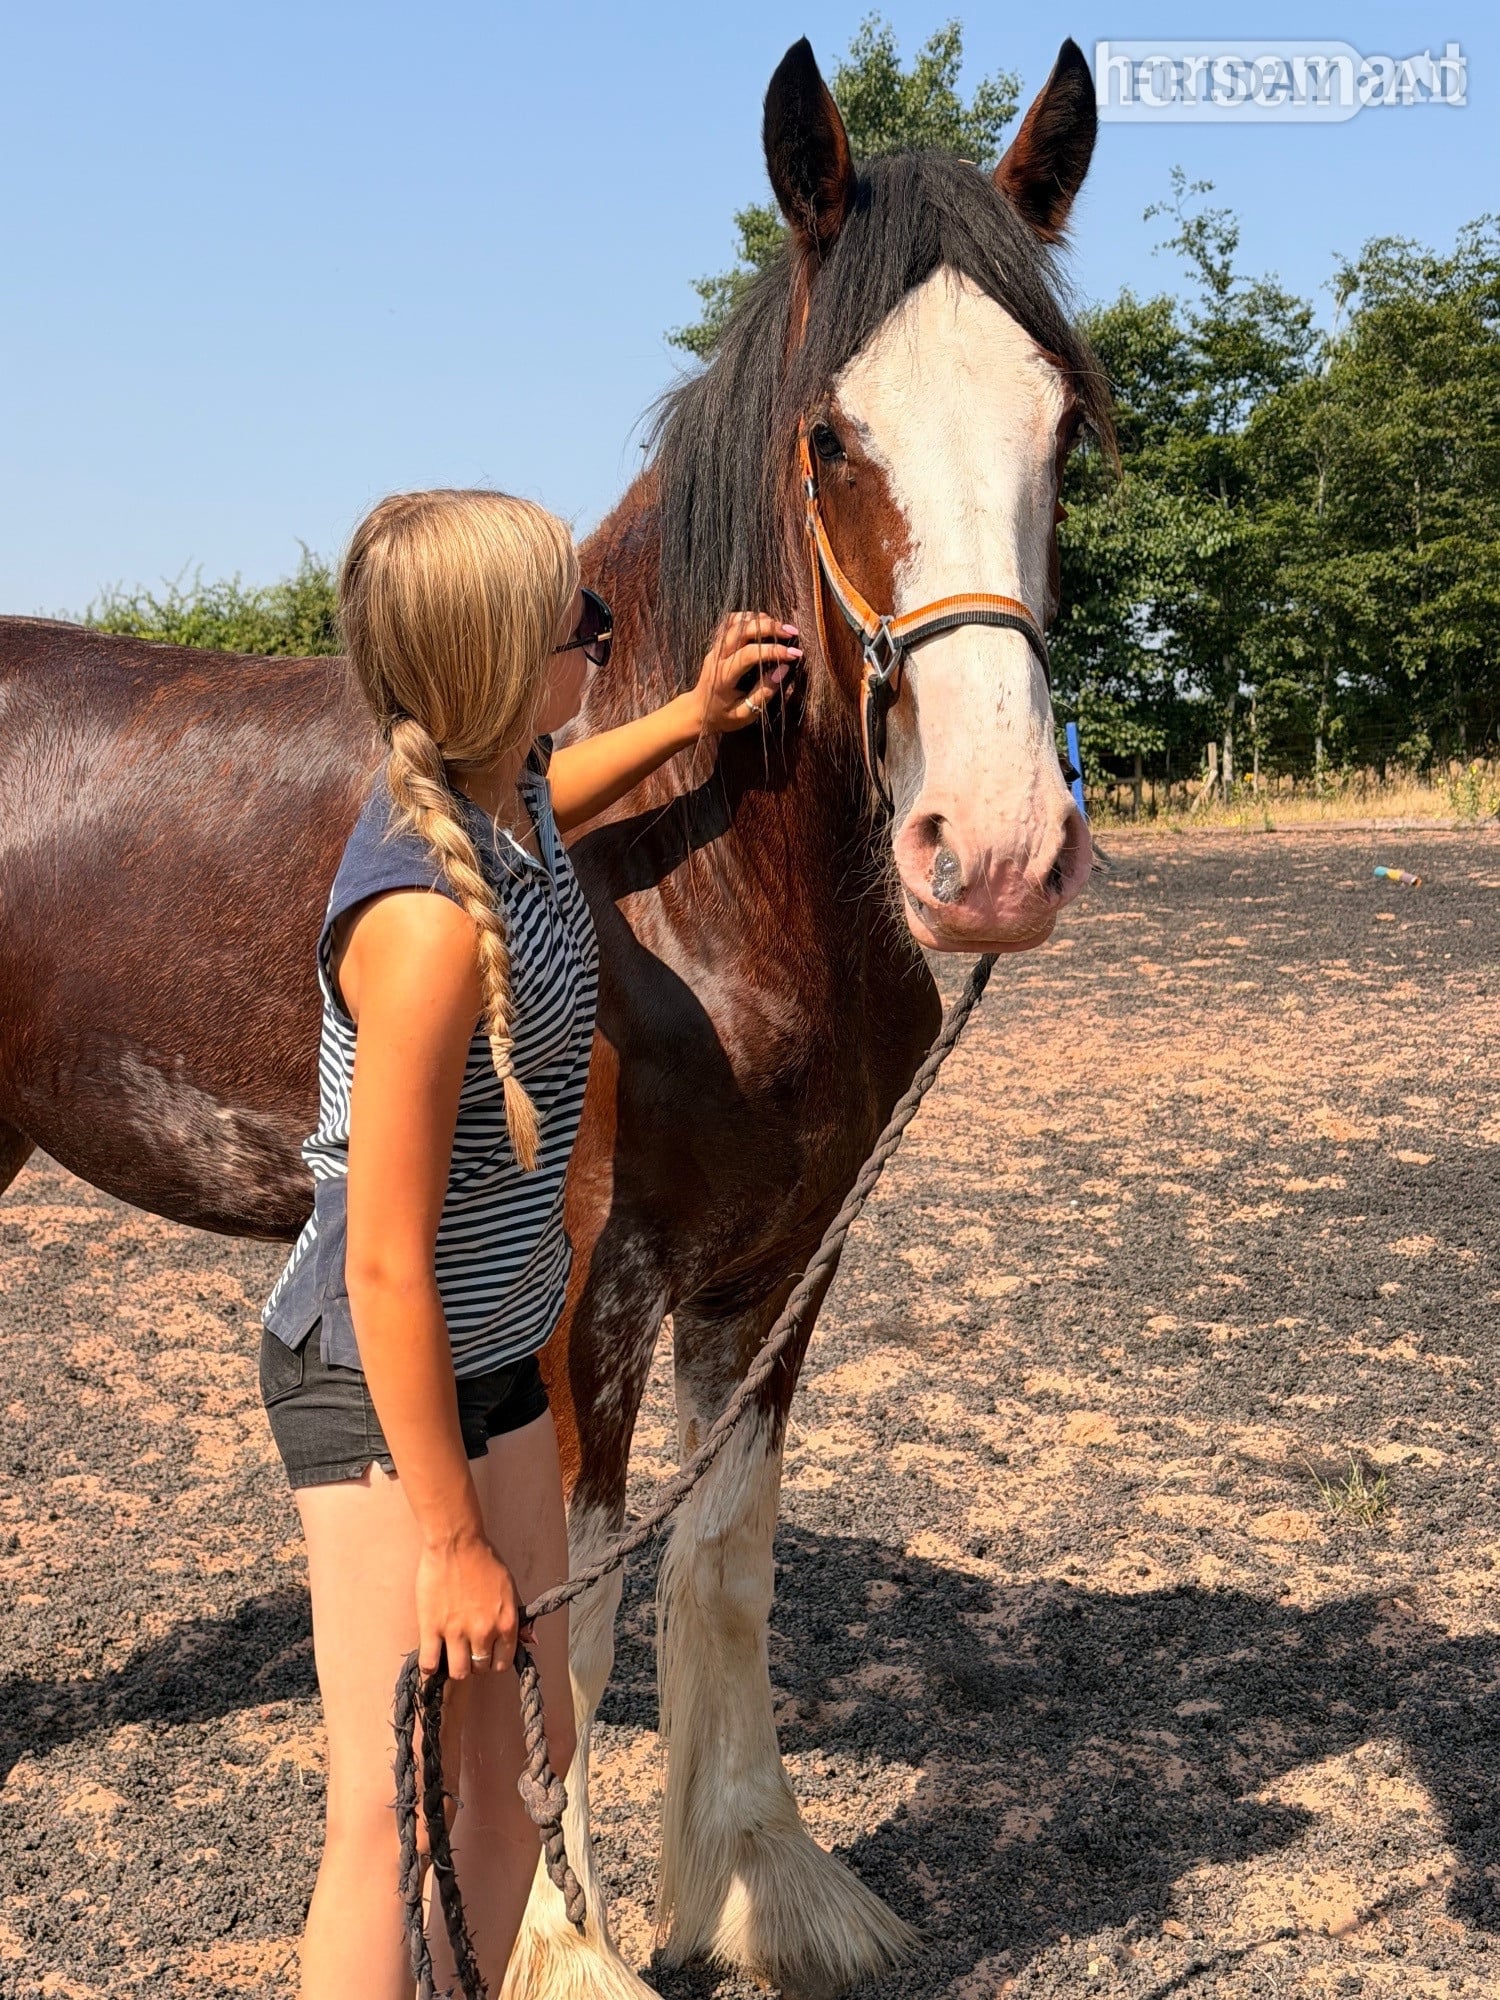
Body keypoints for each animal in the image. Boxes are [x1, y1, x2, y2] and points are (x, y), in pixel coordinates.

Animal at [0, 37, 1109, 1998]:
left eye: (1067, 428)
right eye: (832, 439)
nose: (992, 853)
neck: (680, 864)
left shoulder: (782, 1264)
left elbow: (720, 1563)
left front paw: (765, 1889)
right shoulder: (588, 1284)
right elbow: (564, 1613)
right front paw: (560, 1944)